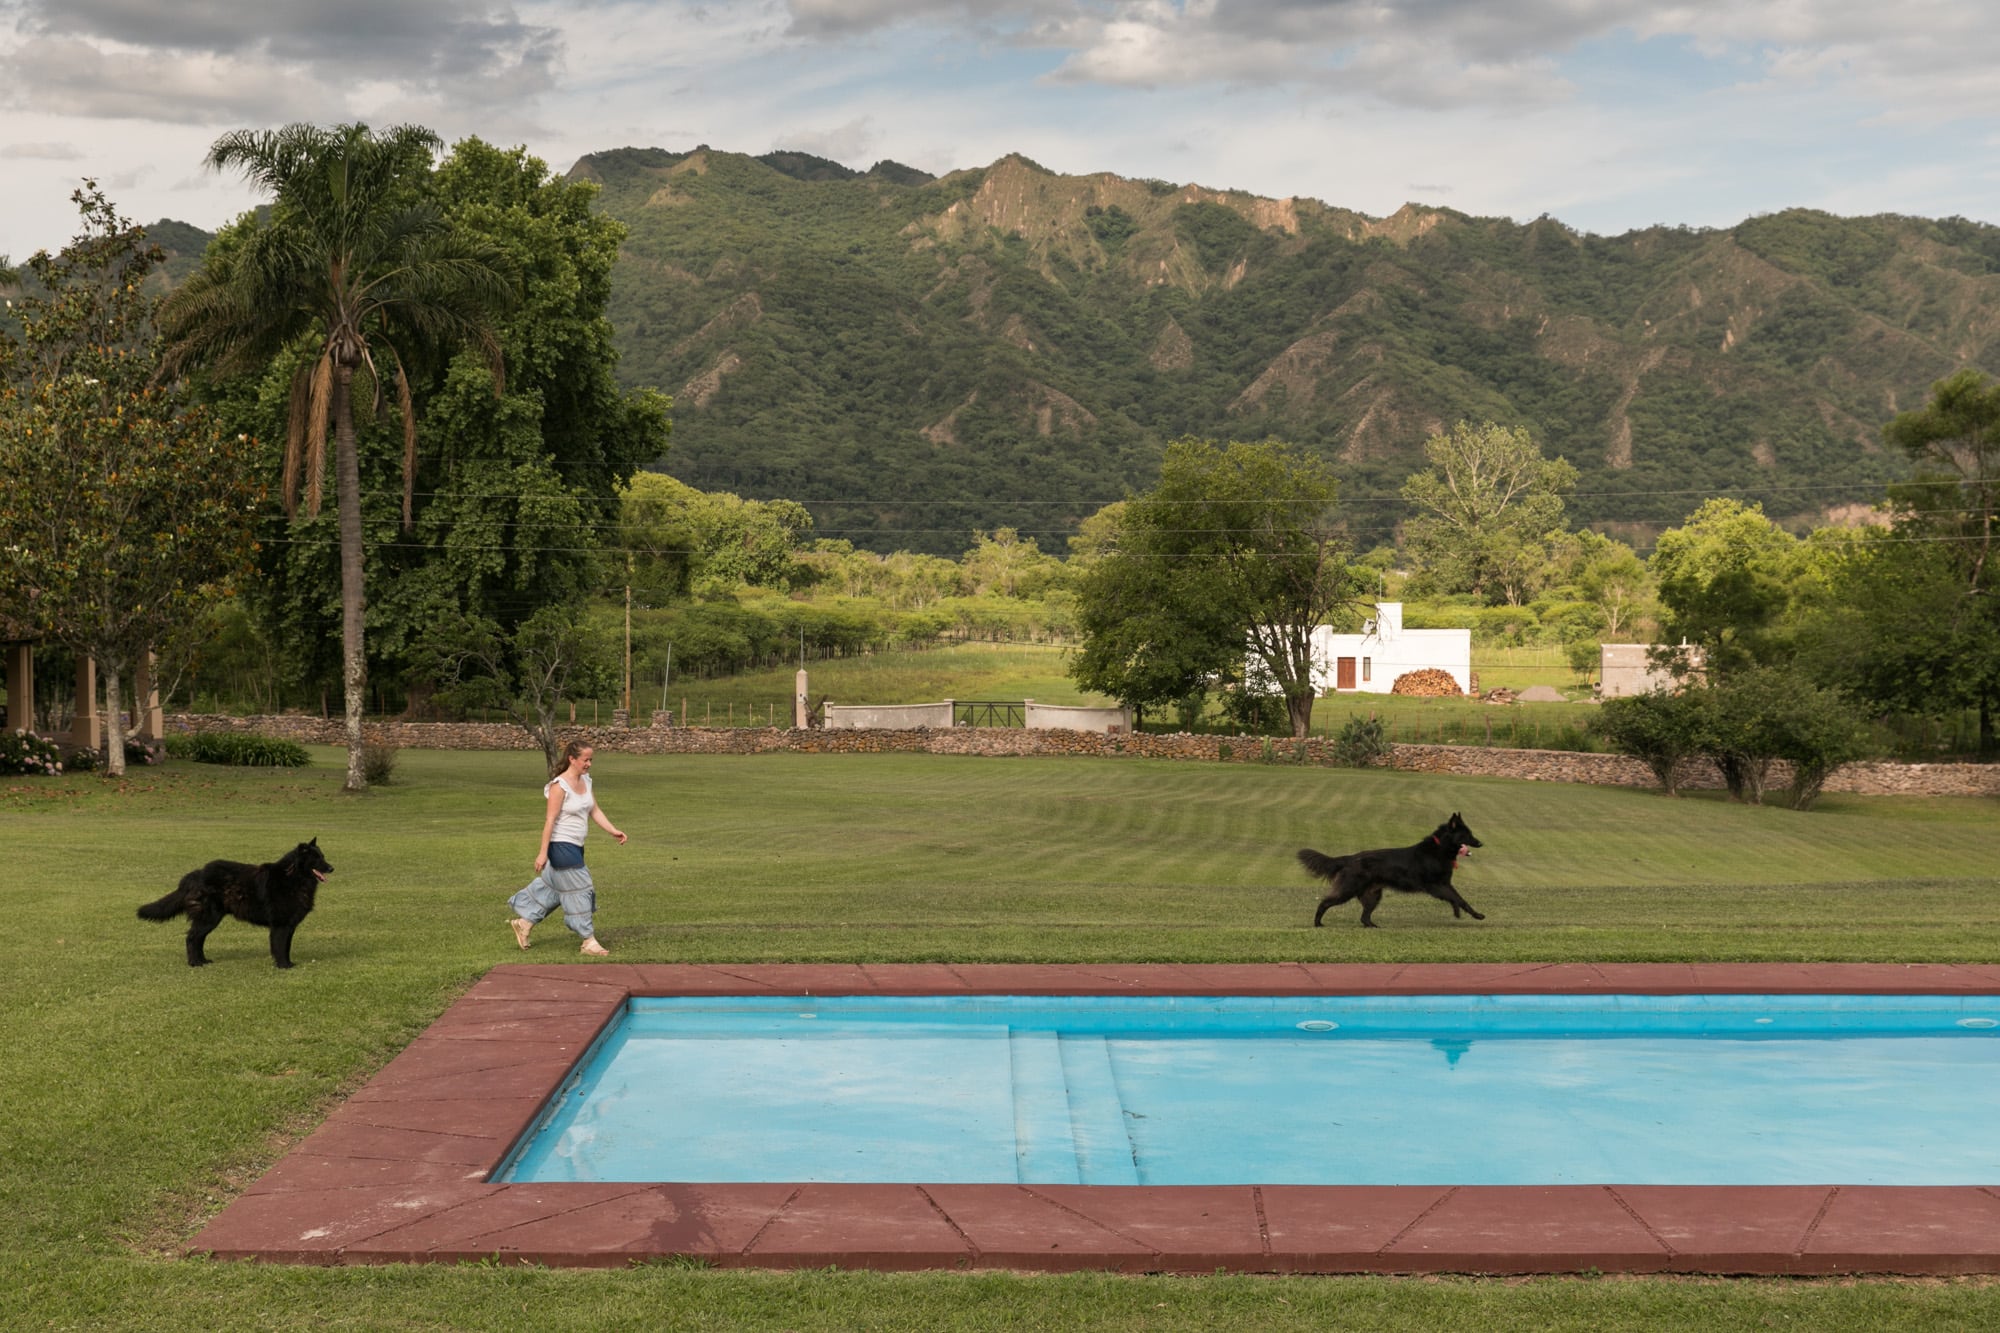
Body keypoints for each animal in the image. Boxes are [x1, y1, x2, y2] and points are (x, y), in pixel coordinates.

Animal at [137, 840, 334, 964]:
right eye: (316, 858)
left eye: (323, 856)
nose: (332, 867)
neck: (293, 876)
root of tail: (194, 875)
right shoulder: (281, 925)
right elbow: (279, 946)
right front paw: (284, 965)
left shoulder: (289, 925)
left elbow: (286, 947)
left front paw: (288, 963)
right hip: (209, 918)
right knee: (192, 938)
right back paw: (195, 963)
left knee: (198, 939)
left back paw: (203, 961)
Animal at [1304, 808, 1480, 924]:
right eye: (1466, 835)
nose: (1480, 843)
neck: (1439, 848)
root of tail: (1351, 858)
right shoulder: (1435, 886)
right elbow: (1457, 898)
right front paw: (1475, 915)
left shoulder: (1445, 884)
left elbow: (1457, 899)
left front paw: (1464, 913)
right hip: (1348, 890)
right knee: (1325, 903)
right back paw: (1317, 923)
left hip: (1373, 896)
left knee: (1364, 918)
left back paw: (1373, 926)